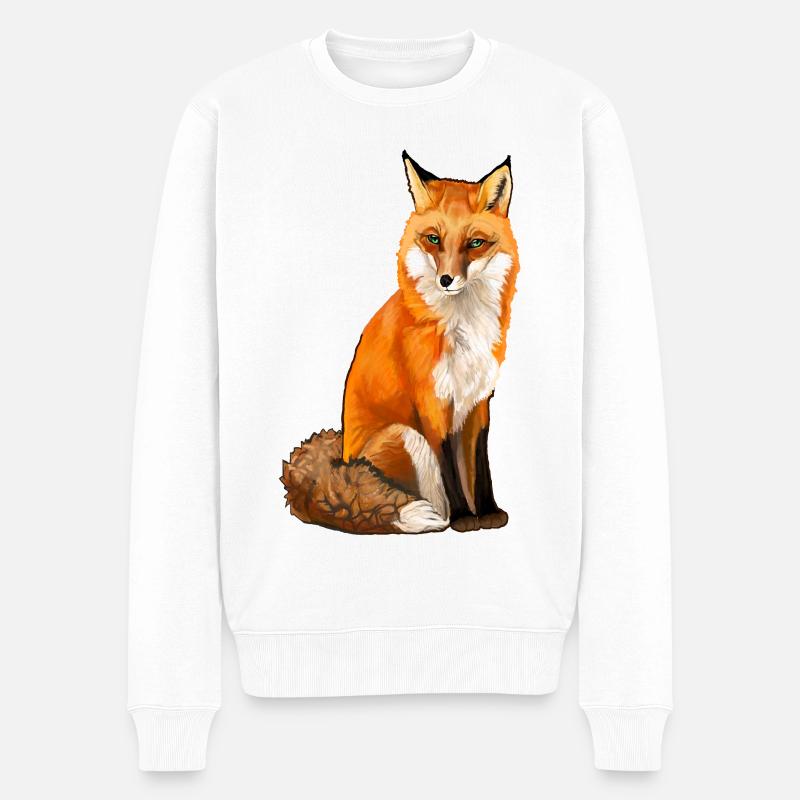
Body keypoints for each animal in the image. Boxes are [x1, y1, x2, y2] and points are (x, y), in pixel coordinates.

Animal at [282, 151, 519, 534]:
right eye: (434, 239)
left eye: (475, 243)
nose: (446, 279)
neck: (462, 327)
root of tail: (340, 460)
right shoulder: (432, 403)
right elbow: (450, 470)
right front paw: (465, 518)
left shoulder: (478, 401)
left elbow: (480, 466)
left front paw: (488, 511)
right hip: (406, 435)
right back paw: (438, 517)